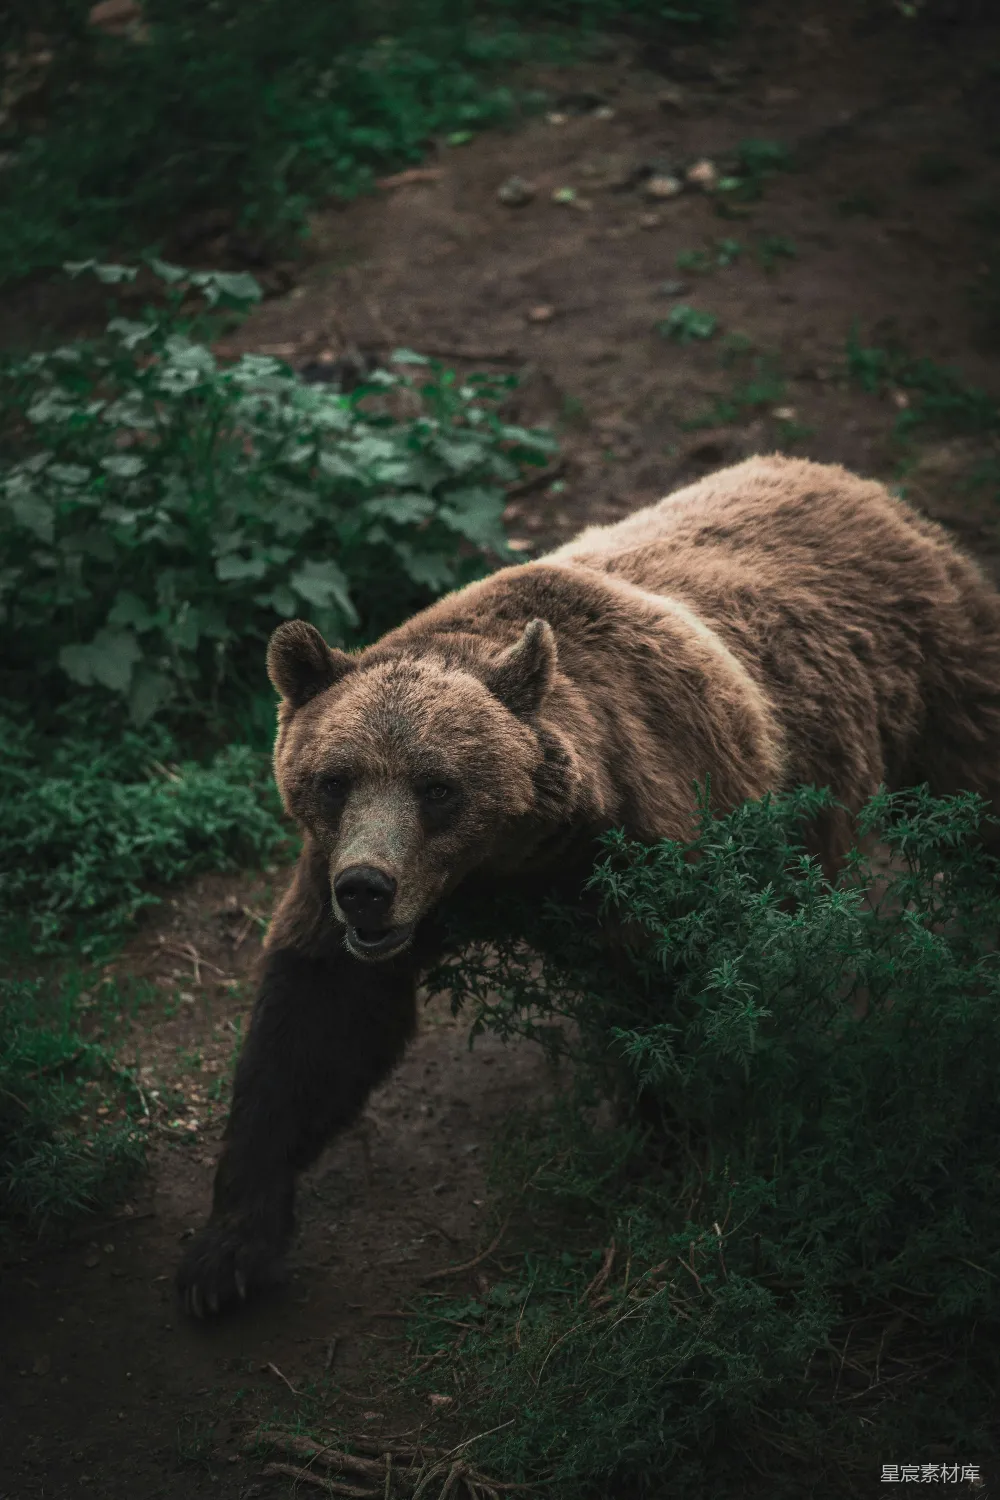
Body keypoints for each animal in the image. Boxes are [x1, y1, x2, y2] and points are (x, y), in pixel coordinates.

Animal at [176, 454, 1000, 1315]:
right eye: (335, 779)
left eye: (438, 787)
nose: (367, 888)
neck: (515, 858)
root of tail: (851, 482)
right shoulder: (346, 878)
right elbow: (314, 1027)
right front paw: (227, 1252)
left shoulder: (650, 847)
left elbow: (680, 1002)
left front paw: (680, 1144)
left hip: (937, 672)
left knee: (979, 783)